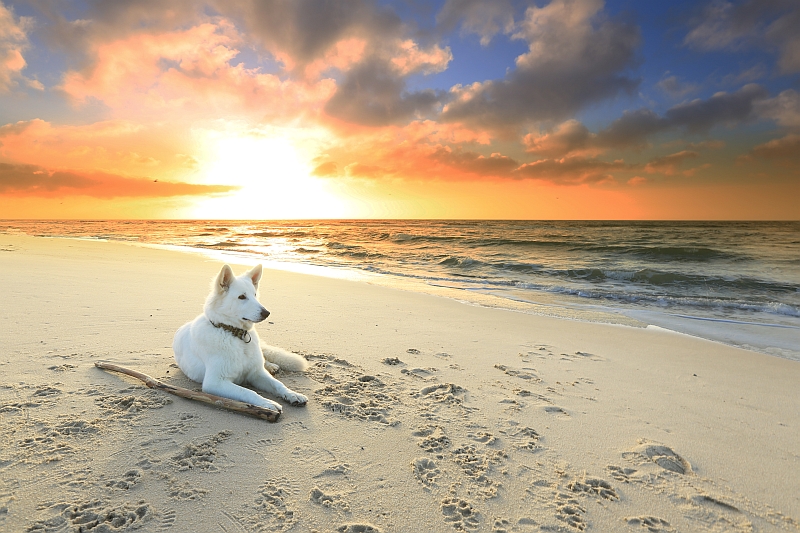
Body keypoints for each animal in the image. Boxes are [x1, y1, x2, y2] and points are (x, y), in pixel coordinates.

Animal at [173, 262, 308, 412]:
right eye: (242, 297)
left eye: (255, 295)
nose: (267, 313)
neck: (236, 335)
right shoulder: (215, 382)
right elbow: (248, 392)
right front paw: (267, 404)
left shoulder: (256, 374)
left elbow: (278, 384)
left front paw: (292, 394)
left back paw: (271, 366)